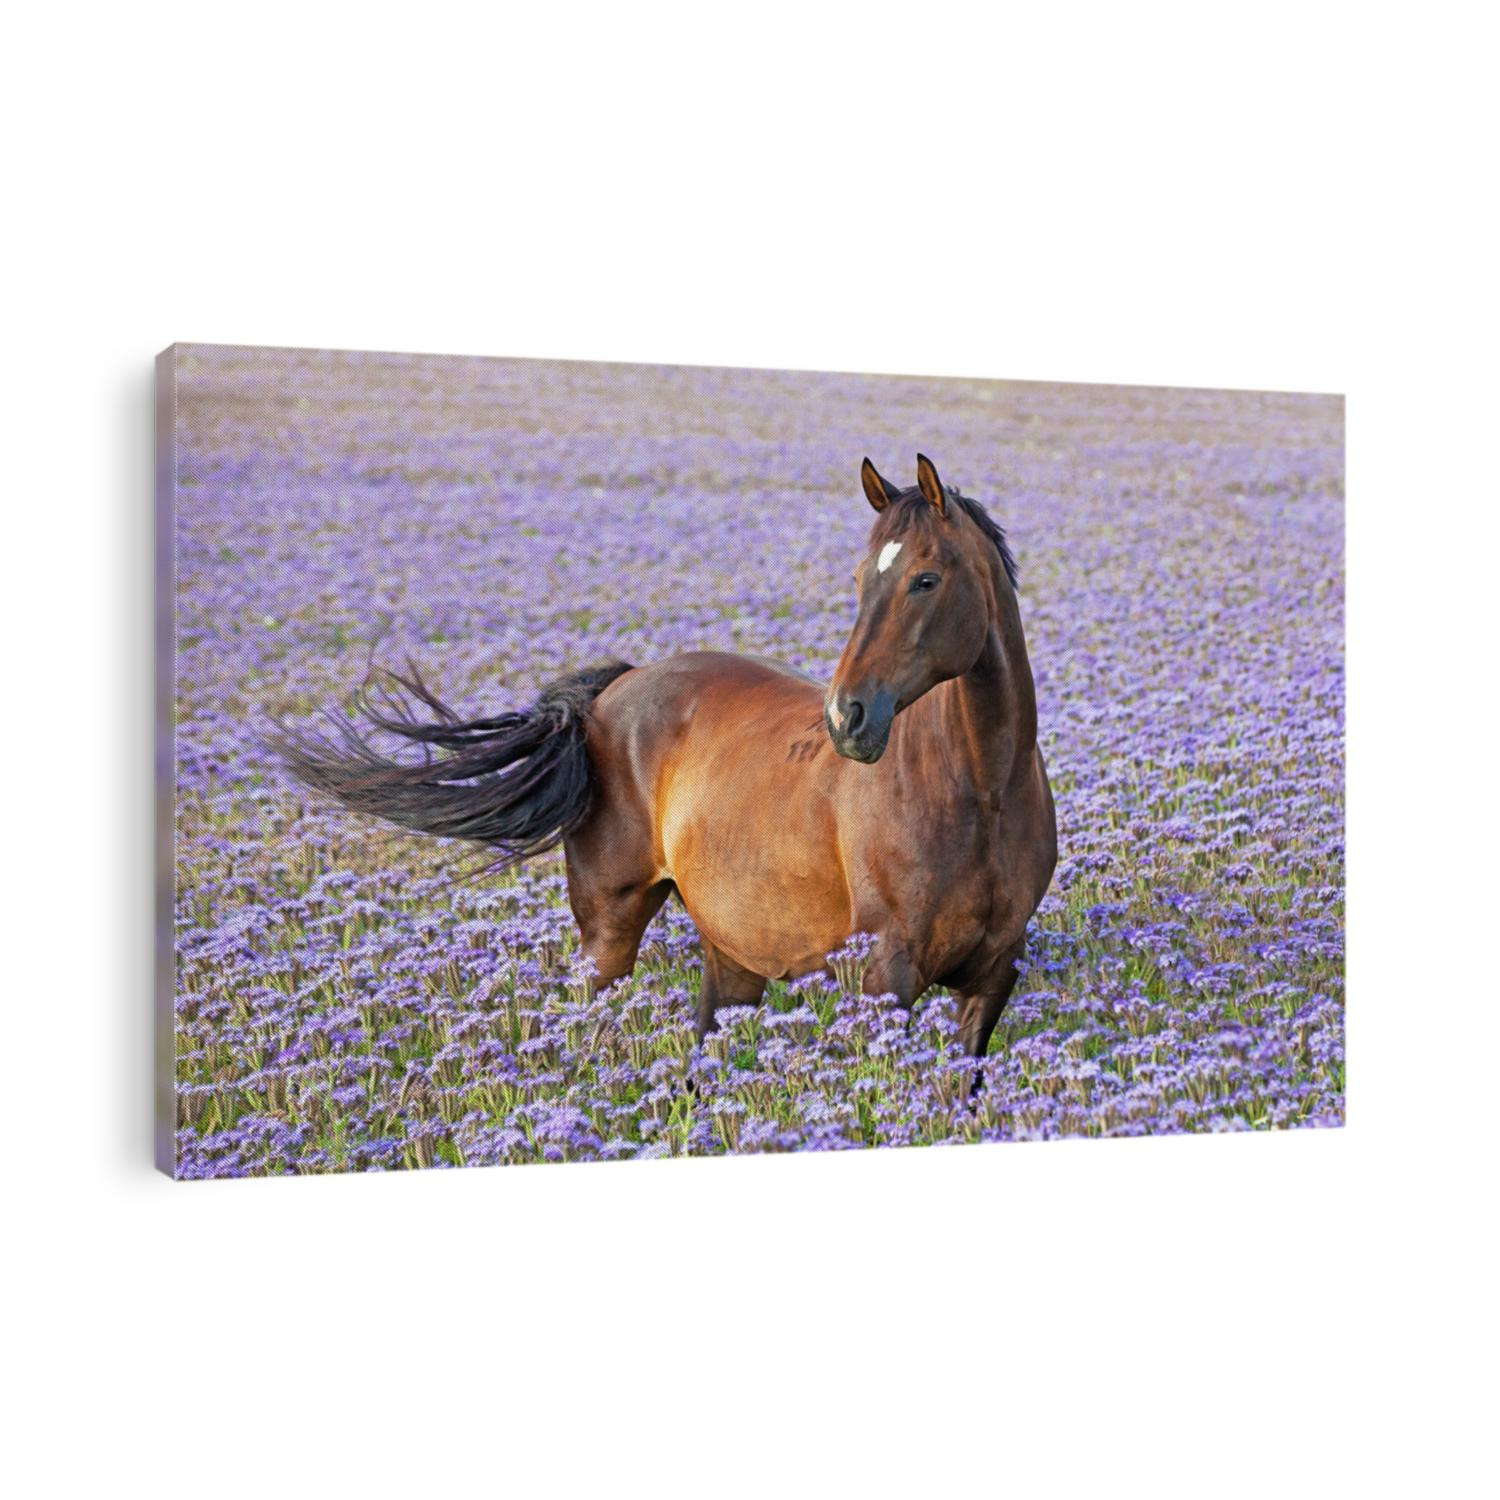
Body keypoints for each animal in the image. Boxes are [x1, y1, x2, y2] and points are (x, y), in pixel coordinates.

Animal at [276, 454, 1057, 1061]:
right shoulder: (883, 977)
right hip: (608, 934)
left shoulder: (990, 982)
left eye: (926, 579)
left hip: (732, 954)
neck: (981, 790)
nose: (848, 717)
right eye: (862, 580)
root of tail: (615, 688)